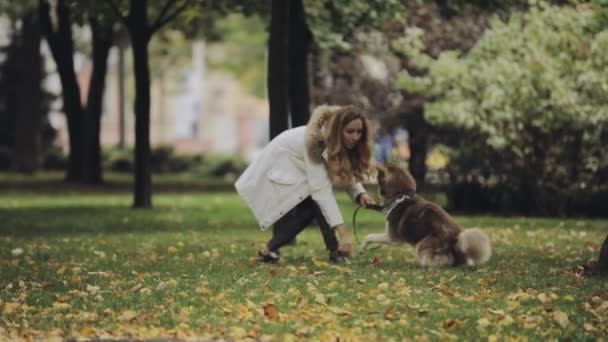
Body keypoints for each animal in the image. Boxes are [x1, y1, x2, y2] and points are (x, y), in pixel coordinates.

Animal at [358, 164, 492, 268]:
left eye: (377, 178)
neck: (400, 195)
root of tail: (456, 240)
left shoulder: (392, 238)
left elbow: (369, 236)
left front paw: (362, 247)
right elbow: (370, 236)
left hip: (423, 244)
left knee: (441, 261)